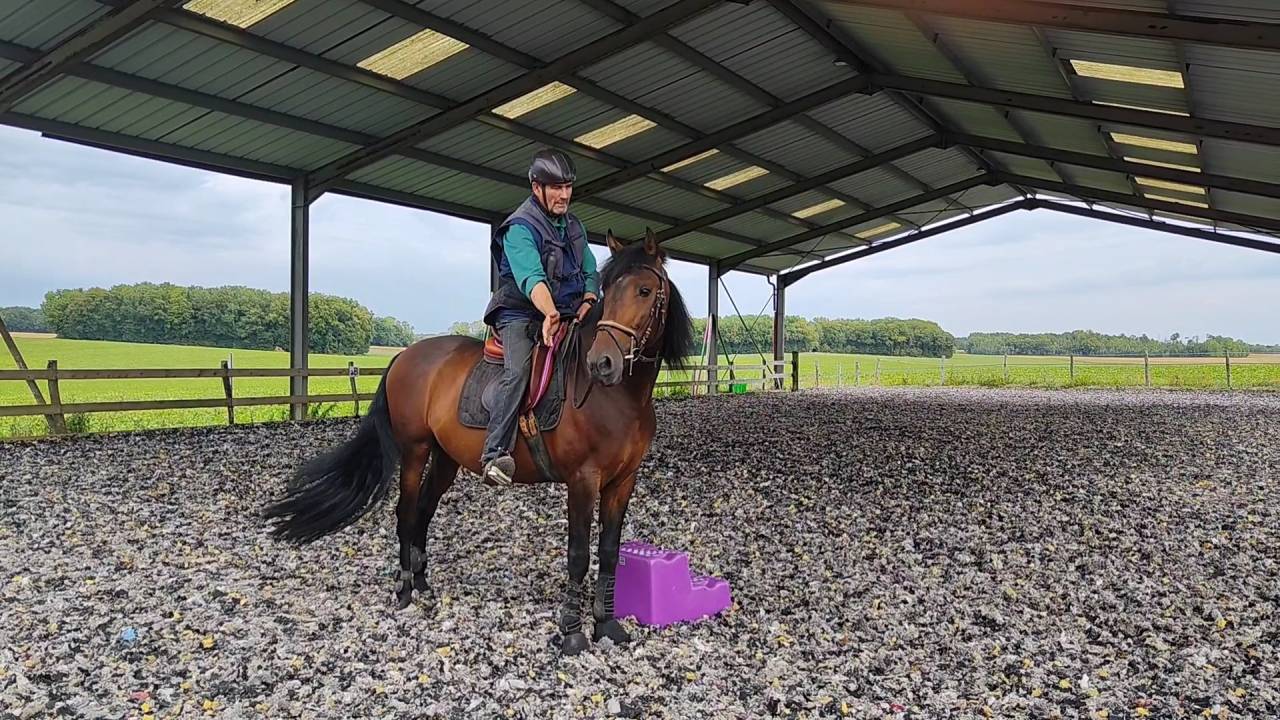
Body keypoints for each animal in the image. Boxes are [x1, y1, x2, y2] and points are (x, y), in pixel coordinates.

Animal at [263, 228, 695, 655]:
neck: (617, 397)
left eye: (644, 291)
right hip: (415, 450)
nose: (602, 363)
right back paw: (405, 588)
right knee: (406, 512)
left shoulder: (623, 481)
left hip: (445, 458)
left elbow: (608, 552)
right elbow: (577, 554)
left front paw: (607, 624)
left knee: (424, 509)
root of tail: (405, 355)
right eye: (609, 289)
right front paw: (572, 633)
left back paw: (423, 583)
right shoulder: (582, 480)